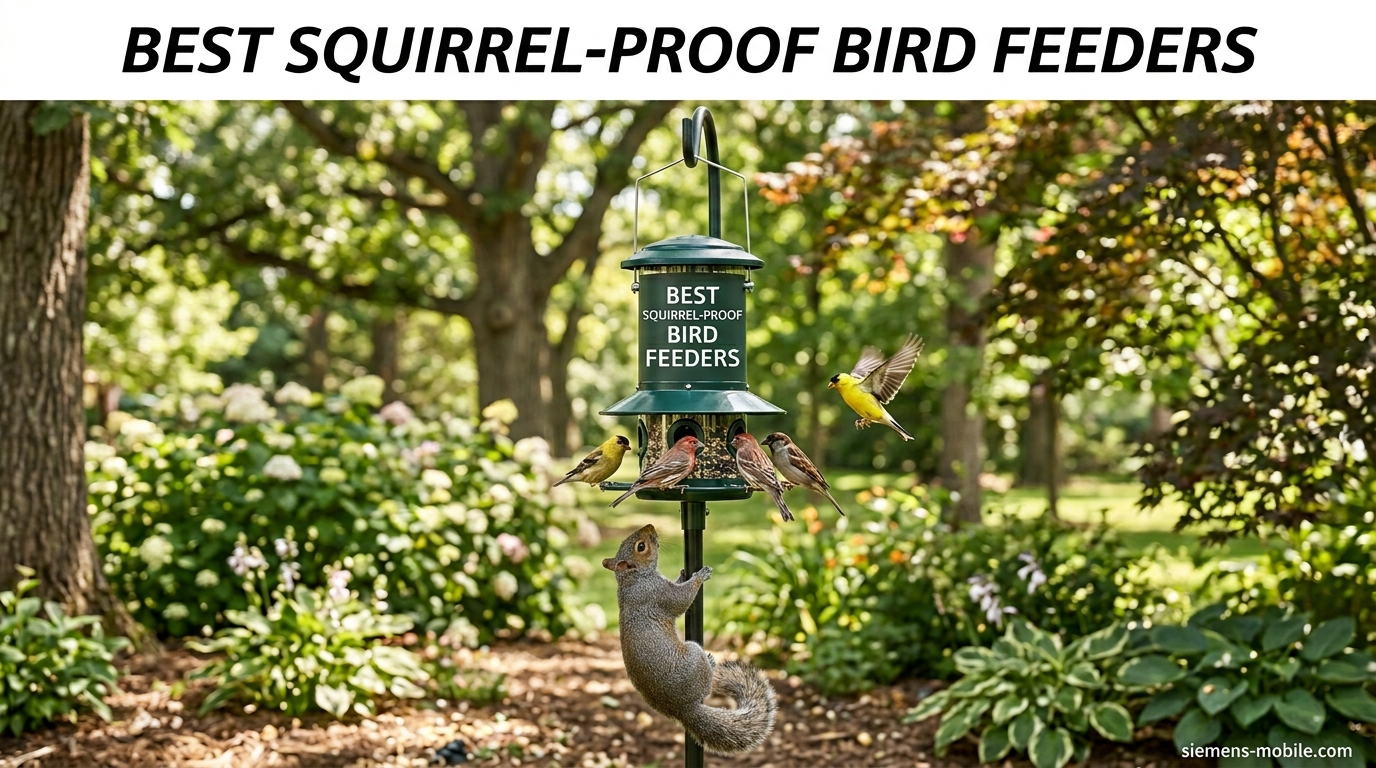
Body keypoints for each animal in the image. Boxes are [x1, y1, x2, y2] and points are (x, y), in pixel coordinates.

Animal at [602, 524, 778, 756]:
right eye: (641, 547)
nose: (651, 527)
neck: (633, 579)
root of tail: (683, 709)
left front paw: (683, 573)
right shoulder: (658, 593)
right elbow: (681, 599)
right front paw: (698, 577)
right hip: (695, 656)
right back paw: (710, 664)